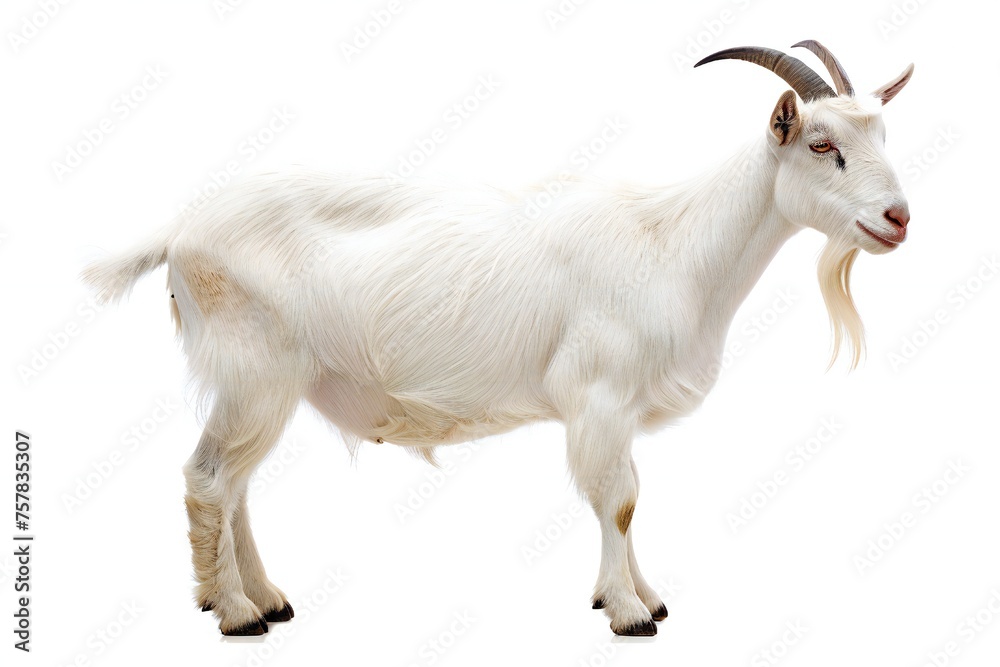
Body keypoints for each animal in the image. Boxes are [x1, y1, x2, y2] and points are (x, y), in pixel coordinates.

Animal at [83, 41, 914, 636]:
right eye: (821, 144)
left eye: (881, 133)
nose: (899, 216)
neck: (673, 243)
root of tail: (180, 231)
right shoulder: (599, 394)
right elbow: (620, 499)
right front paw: (629, 610)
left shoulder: (618, 408)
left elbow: (630, 497)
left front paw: (643, 594)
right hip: (254, 369)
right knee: (208, 478)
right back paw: (235, 613)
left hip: (268, 385)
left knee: (238, 483)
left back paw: (265, 597)